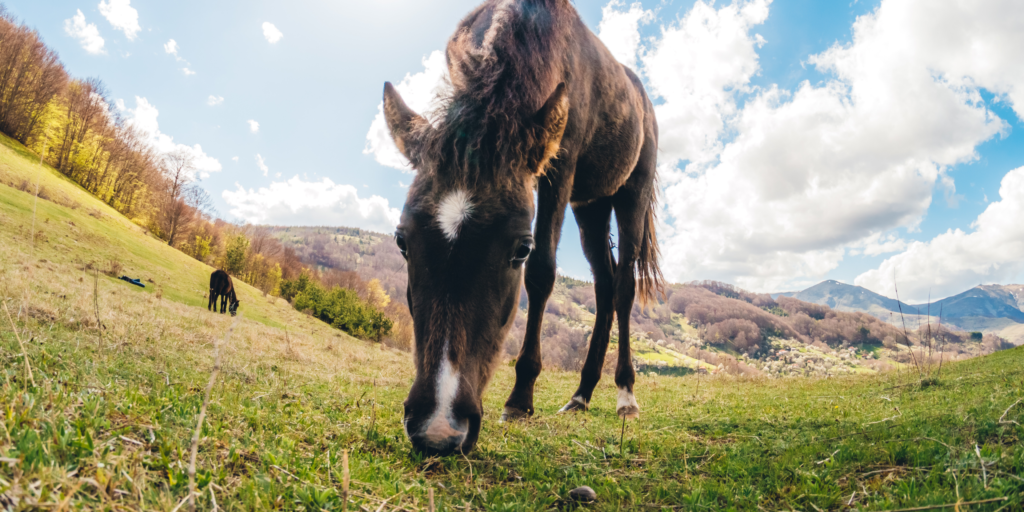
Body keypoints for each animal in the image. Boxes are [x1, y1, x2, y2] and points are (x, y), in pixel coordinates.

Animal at [385, 0, 663, 456]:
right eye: (402, 241)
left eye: (520, 249)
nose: (438, 428)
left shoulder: (559, 169)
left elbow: (543, 273)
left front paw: (520, 398)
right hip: (590, 207)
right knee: (604, 287)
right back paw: (581, 395)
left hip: (630, 195)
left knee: (623, 288)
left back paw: (625, 394)